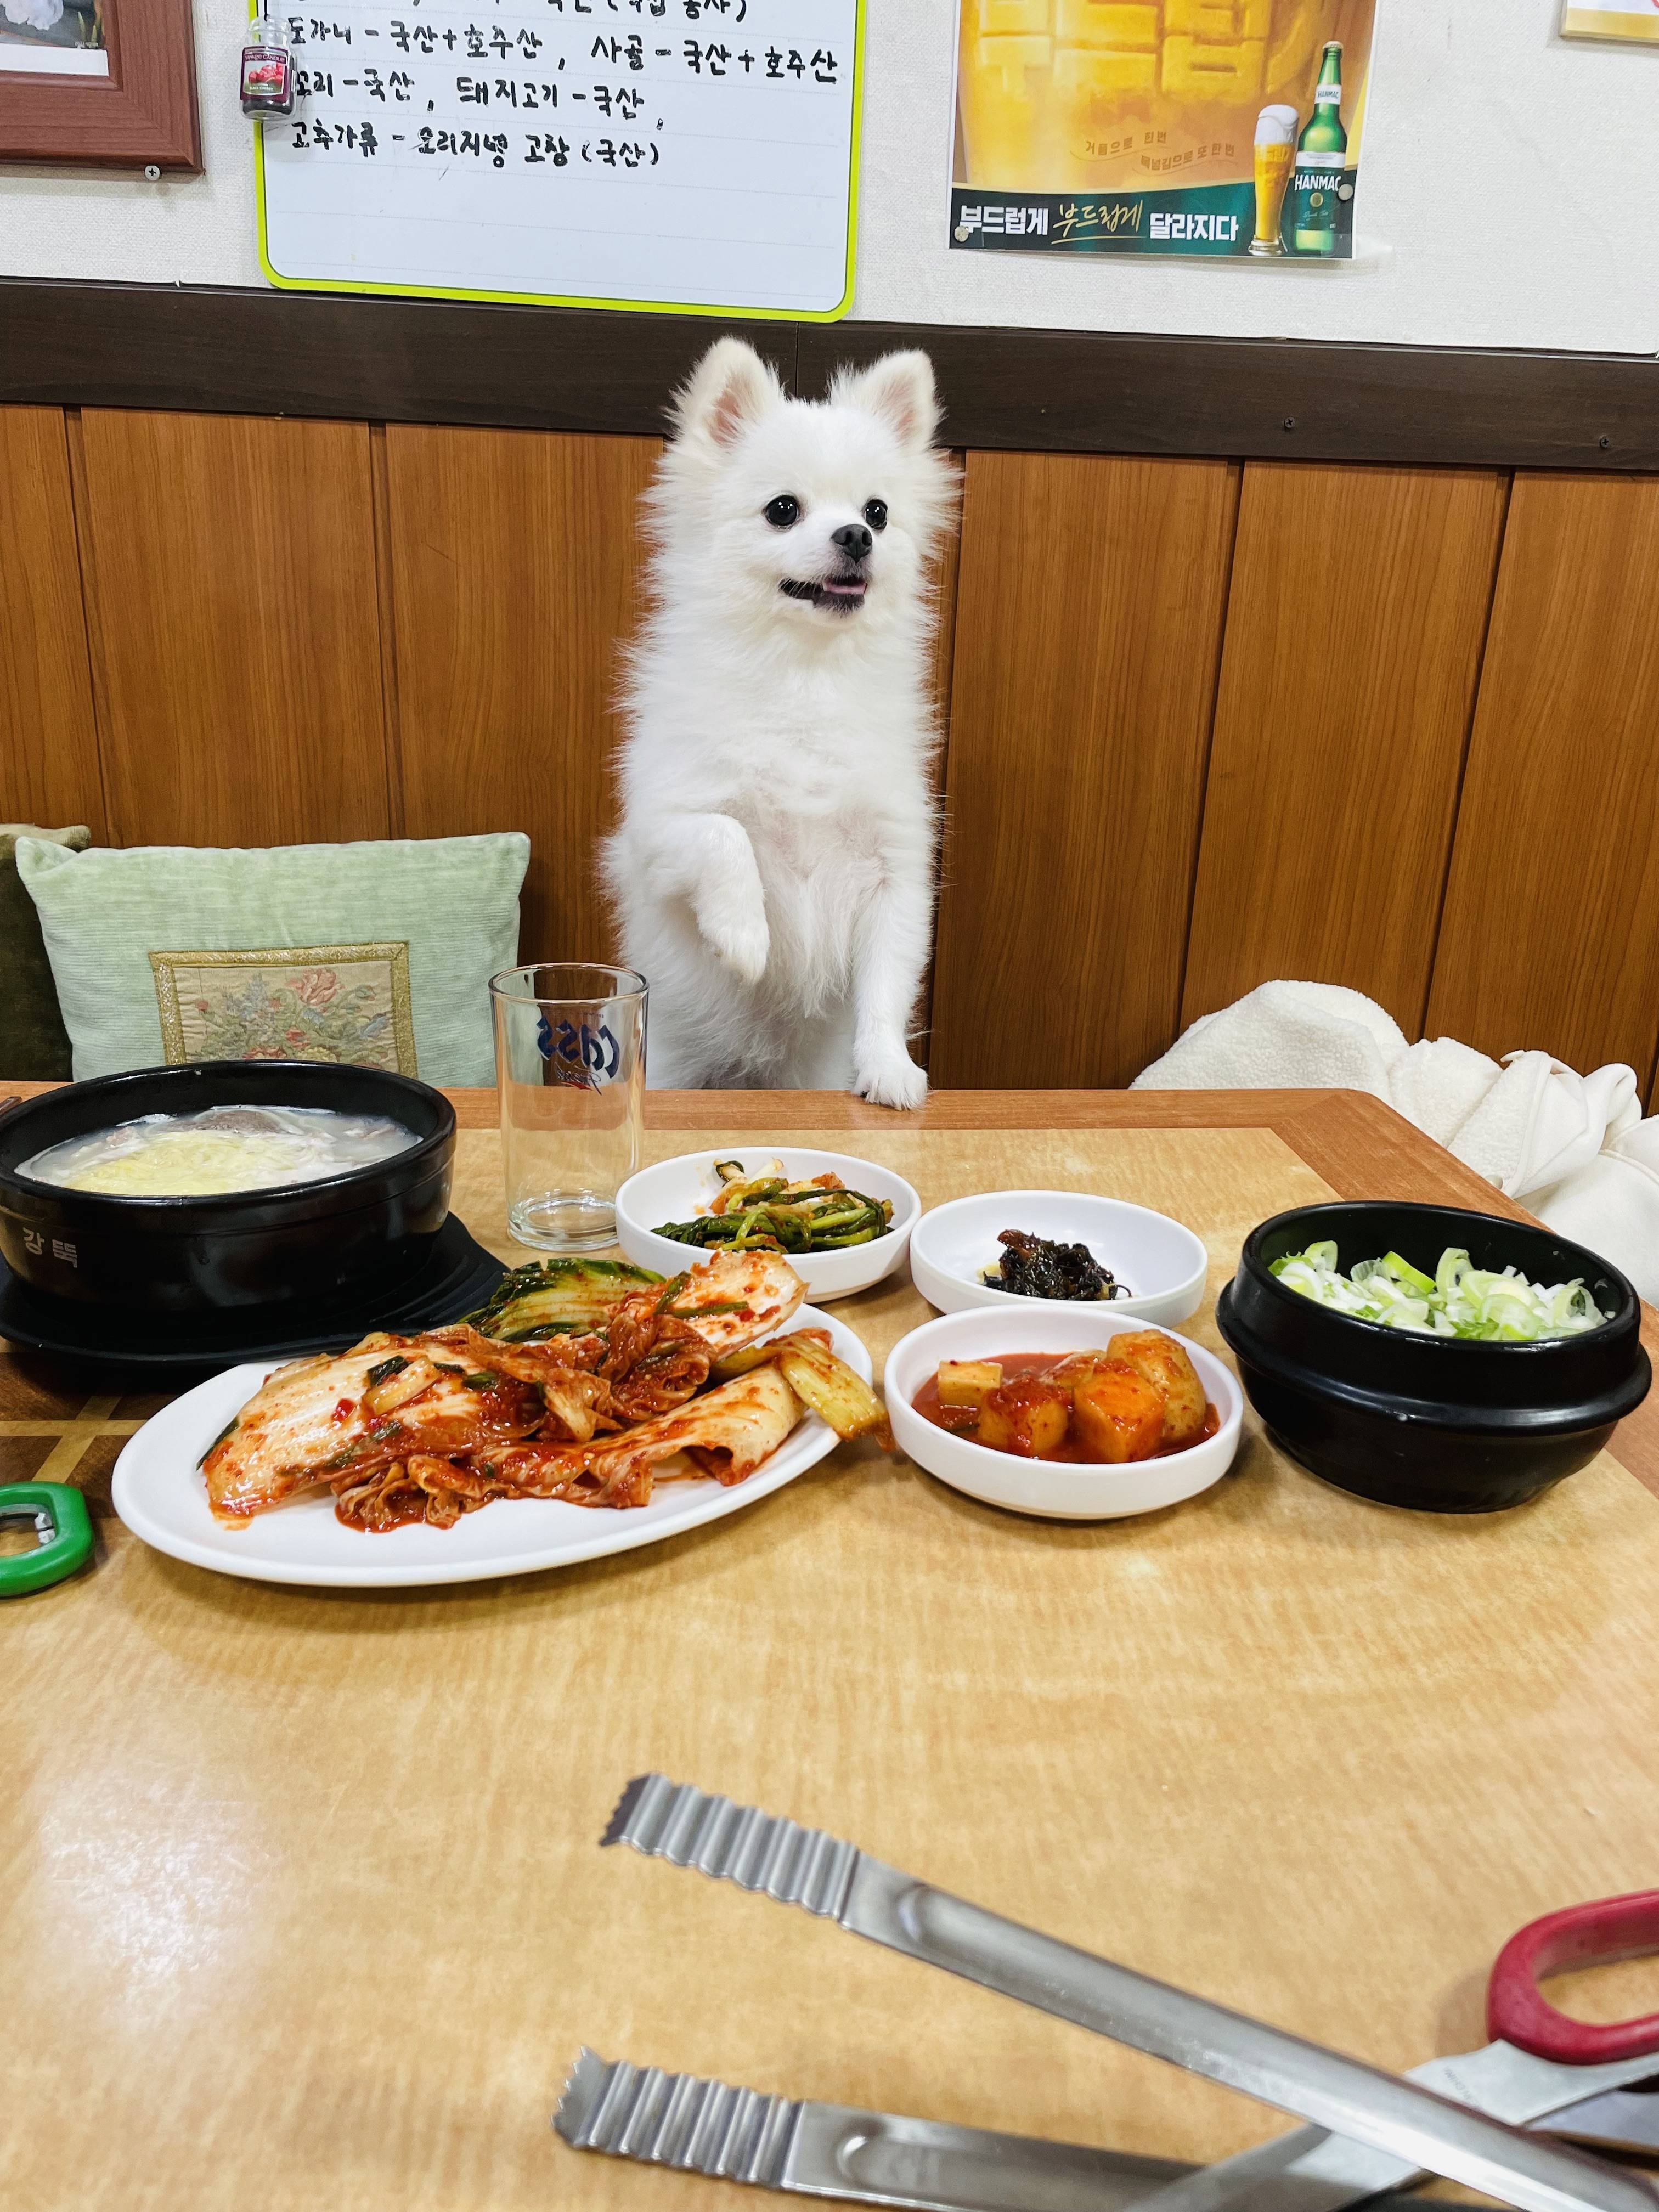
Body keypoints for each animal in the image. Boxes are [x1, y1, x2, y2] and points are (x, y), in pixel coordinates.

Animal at [606, 331, 955, 1106]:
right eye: (783, 509)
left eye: (879, 512)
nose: (856, 535)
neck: (805, 680)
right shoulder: (658, 833)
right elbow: (725, 834)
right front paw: (743, 935)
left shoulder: (895, 869)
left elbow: (887, 982)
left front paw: (888, 1067)